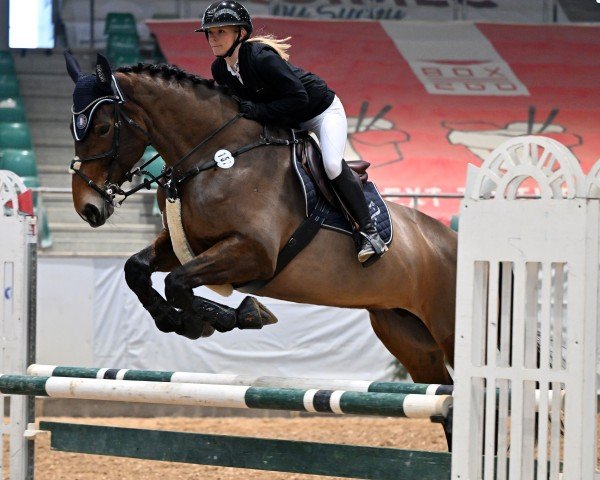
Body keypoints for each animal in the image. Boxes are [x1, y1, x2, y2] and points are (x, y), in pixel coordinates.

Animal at [65, 53, 458, 386]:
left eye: (102, 128)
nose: (87, 207)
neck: (218, 156)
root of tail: (453, 240)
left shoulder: (253, 252)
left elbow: (177, 283)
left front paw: (238, 315)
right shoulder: (189, 245)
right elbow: (137, 269)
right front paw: (179, 320)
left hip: (448, 331)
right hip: (406, 335)